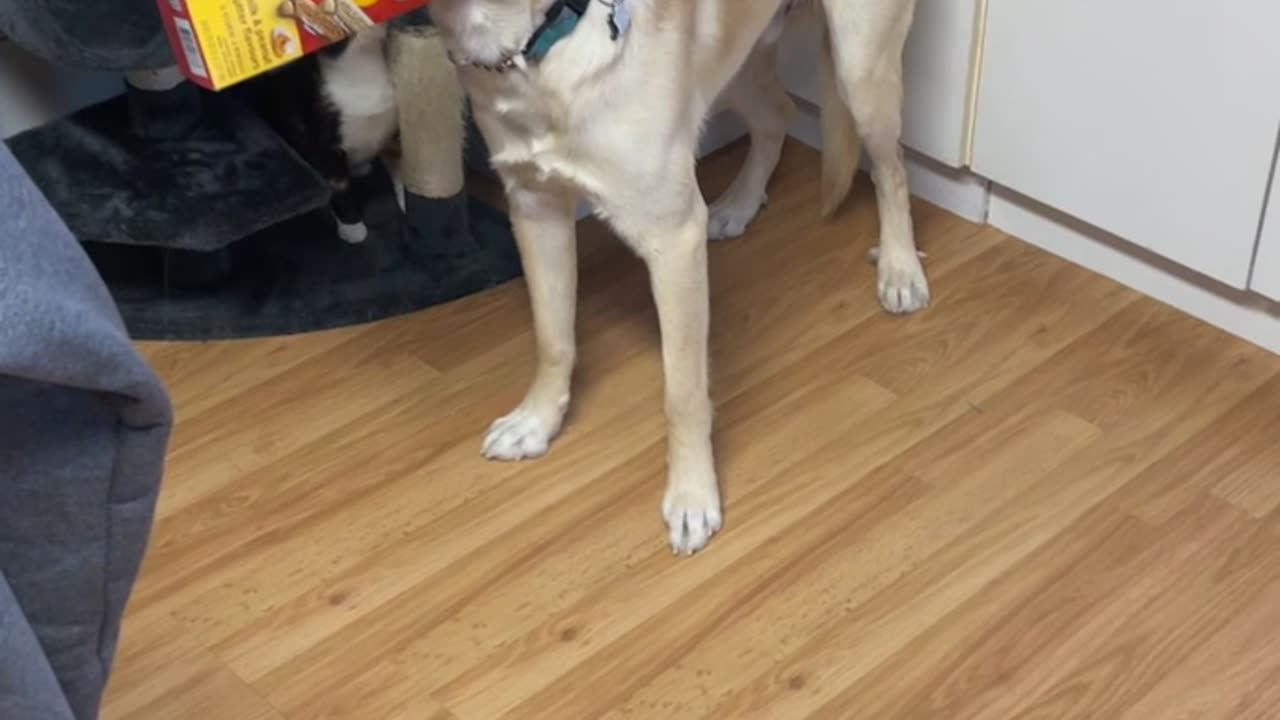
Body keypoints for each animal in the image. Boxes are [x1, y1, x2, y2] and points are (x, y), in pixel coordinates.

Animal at [424, 0, 926, 550]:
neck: (540, 50)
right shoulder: (535, 208)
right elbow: (553, 340)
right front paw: (537, 421)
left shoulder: (674, 238)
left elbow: (683, 394)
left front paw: (692, 495)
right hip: (732, 69)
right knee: (779, 115)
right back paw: (740, 204)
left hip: (860, 69)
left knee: (893, 169)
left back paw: (901, 268)